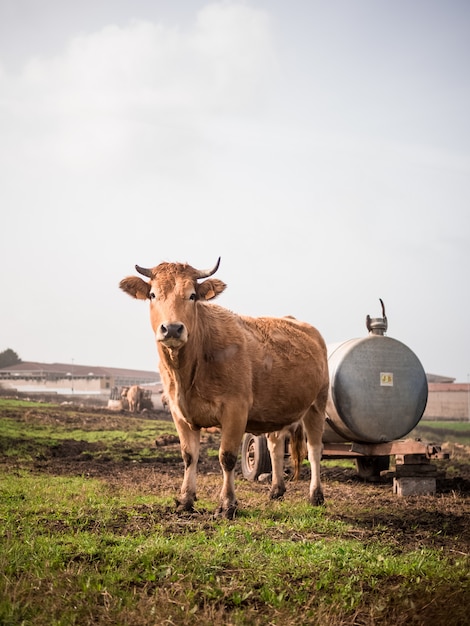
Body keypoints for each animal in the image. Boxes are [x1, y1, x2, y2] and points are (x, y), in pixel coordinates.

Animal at [119, 256, 328, 516]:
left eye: (192, 295)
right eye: (153, 295)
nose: (173, 328)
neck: (188, 373)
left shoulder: (235, 410)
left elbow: (226, 457)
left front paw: (227, 504)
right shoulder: (179, 413)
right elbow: (189, 456)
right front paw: (185, 499)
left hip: (317, 404)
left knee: (315, 449)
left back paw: (316, 495)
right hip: (278, 409)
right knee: (276, 446)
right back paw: (276, 490)